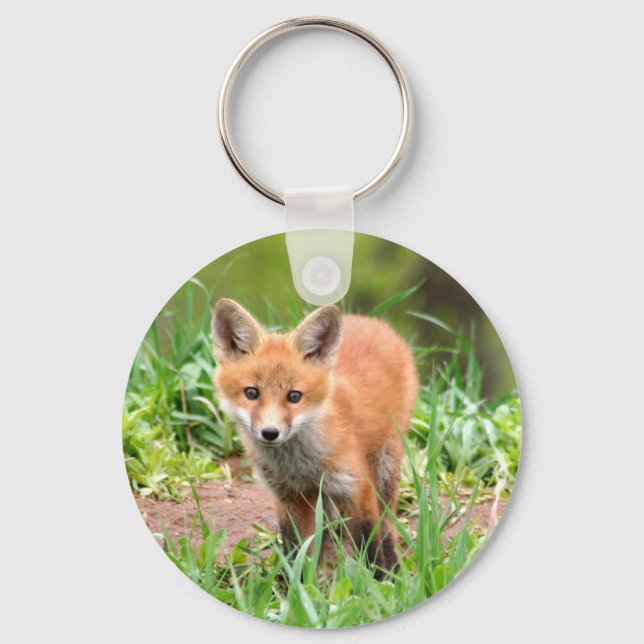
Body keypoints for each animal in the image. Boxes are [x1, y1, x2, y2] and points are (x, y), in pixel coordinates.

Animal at [211, 298, 418, 575]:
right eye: (251, 393)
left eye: (294, 396)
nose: (270, 433)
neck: (300, 466)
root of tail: (373, 321)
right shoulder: (288, 496)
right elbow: (294, 550)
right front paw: (293, 584)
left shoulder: (357, 487)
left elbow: (370, 543)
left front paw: (380, 580)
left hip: (385, 464)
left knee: (387, 524)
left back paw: (392, 567)